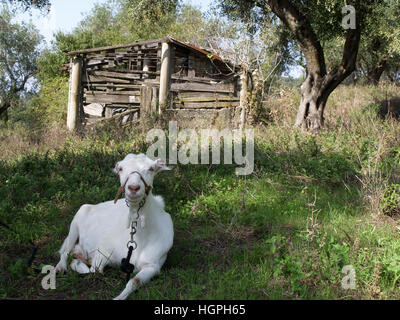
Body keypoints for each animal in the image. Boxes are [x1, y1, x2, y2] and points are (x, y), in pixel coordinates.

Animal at [55, 153, 173, 300]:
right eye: (121, 168)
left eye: (151, 169)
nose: (133, 188)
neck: (139, 240)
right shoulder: (102, 250)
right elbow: (95, 271)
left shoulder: (153, 265)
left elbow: (134, 281)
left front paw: (119, 297)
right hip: (75, 224)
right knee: (65, 251)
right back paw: (60, 267)